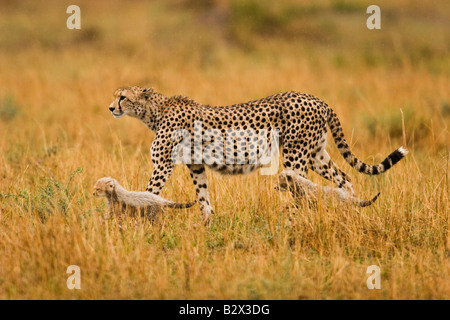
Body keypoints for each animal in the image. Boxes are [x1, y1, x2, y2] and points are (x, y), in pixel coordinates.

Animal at [109, 87, 408, 222]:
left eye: (123, 96)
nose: (111, 108)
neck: (155, 111)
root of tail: (317, 99)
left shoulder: (163, 164)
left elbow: (149, 192)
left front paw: (131, 220)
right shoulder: (196, 166)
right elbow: (203, 196)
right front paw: (207, 224)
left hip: (296, 155)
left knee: (299, 187)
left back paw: (291, 221)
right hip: (315, 154)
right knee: (344, 178)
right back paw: (348, 213)